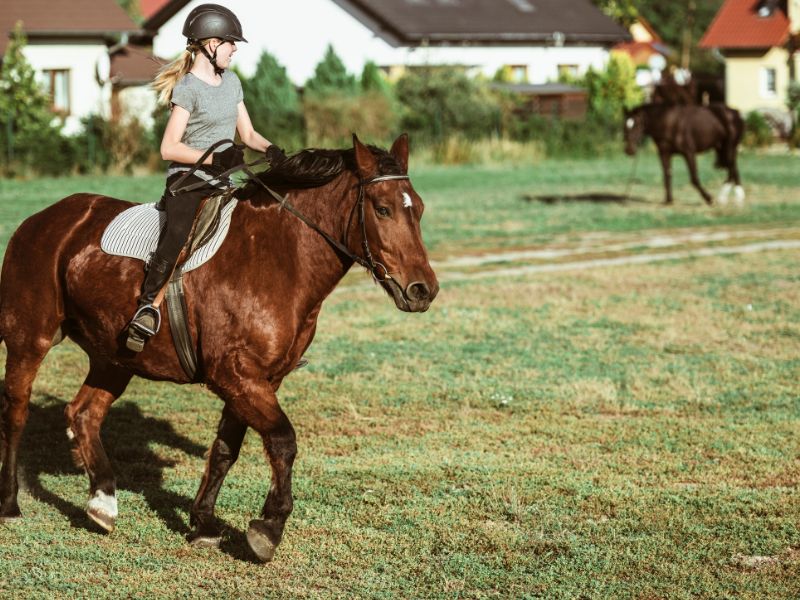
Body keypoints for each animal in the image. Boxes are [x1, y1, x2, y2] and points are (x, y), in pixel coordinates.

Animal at [0, 133, 439, 562]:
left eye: (418, 209)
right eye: (382, 209)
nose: (423, 290)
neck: (280, 259)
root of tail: (43, 219)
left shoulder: (259, 380)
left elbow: (227, 449)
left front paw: (204, 524)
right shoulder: (235, 374)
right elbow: (283, 440)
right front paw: (268, 528)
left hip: (114, 356)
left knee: (83, 414)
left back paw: (103, 502)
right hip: (30, 340)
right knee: (17, 413)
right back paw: (11, 503)